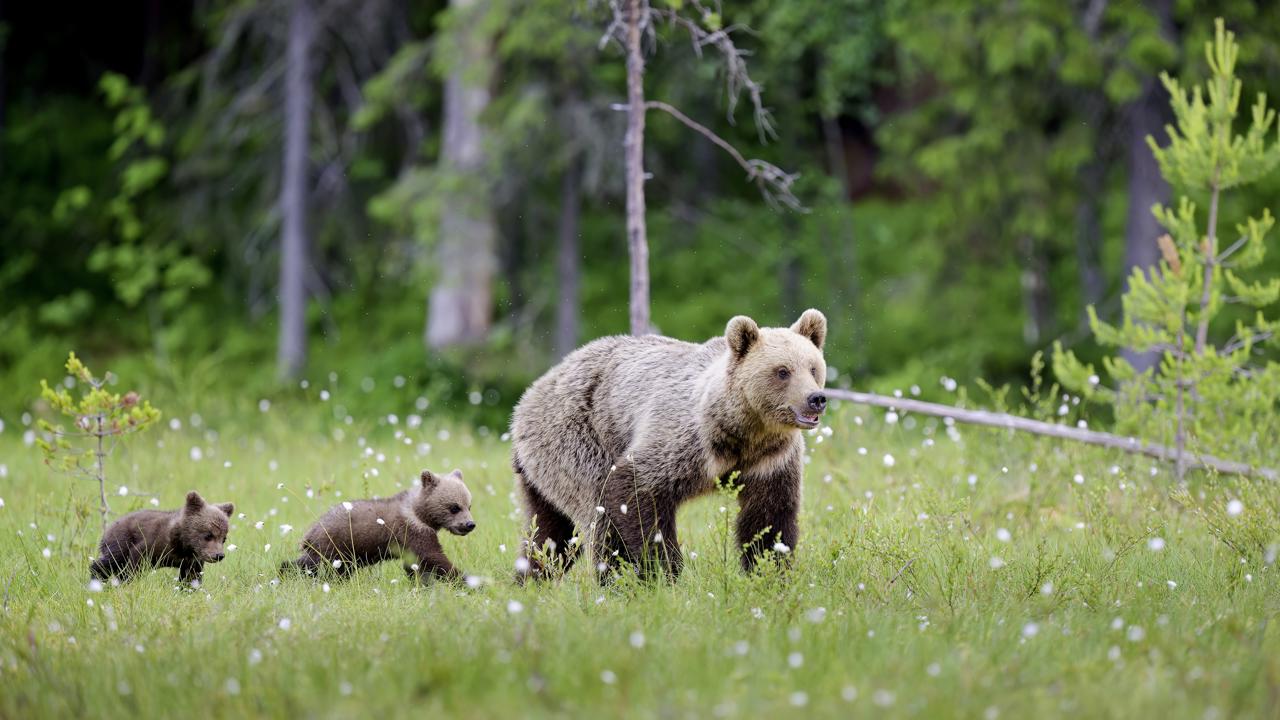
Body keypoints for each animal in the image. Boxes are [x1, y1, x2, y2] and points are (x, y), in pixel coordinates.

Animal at [93, 486, 239, 584]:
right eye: (208, 535)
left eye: (223, 538)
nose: (218, 555)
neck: (183, 544)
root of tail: (108, 528)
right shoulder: (153, 543)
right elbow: (135, 563)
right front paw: (129, 581)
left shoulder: (192, 560)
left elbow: (191, 576)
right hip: (121, 541)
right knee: (109, 562)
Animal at [280, 468, 476, 579]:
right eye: (454, 507)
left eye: (469, 505)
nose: (469, 524)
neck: (420, 514)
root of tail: (310, 531)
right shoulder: (412, 531)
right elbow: (434, 558)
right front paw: (467, 580)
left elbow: (417, 566)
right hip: (332, 546)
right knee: (310, 565)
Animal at [509, 307, 829, 576]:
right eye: (782, 371)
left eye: (813, 368)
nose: (816, 398)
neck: (743, 433)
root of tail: (529, 395)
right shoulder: (685, 441)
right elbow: (635, 490)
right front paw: (666, 570)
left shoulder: (771, 460)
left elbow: (769, 518)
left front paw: (769, 570)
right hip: (577, 440)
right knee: (598, 521)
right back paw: (613, 582)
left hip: (543, 471)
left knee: (550, 533)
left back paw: (531, 578)